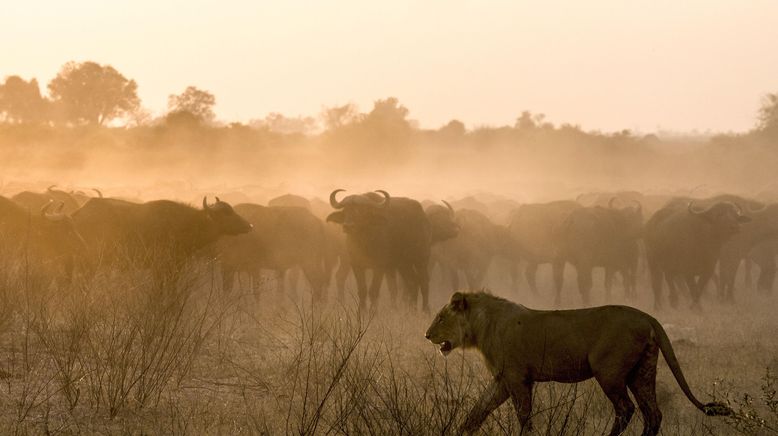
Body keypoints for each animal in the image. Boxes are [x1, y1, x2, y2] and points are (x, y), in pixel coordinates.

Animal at [424, 290, 728, 436]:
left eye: (440, 317)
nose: (426, 335)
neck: (480, 327)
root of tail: (648, 317)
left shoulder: (517, 378)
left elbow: (524, 416)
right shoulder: (503, 380)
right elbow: (478, 411)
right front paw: (459, 431)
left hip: (609, 372)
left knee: (626, 409)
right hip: (642, 370)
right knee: (653, 413)